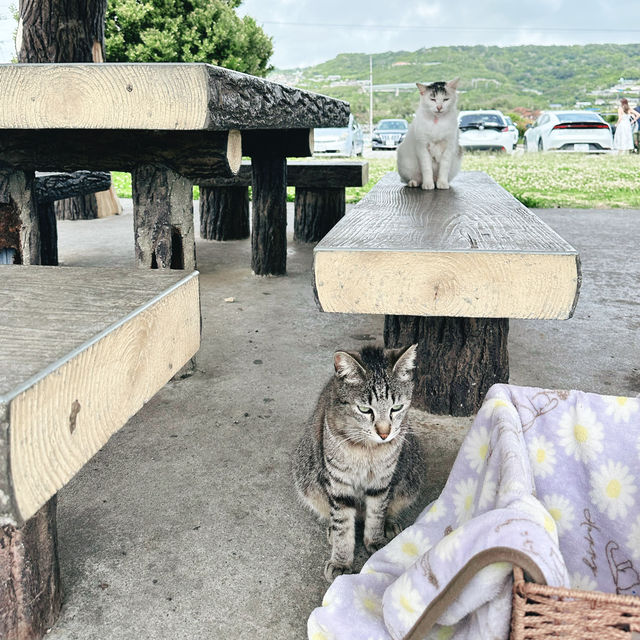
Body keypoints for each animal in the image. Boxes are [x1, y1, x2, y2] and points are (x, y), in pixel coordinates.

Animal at [294, 342, 424, 584]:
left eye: (396, 408)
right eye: (365, 410)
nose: (384, 433)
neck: (368, 450)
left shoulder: (382, 482)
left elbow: (377, 512)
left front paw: (376, 540)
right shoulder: (338, 486)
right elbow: (343, 526)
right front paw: (341, 561)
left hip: (412, 473)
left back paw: (389, 524)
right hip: (305, 475)